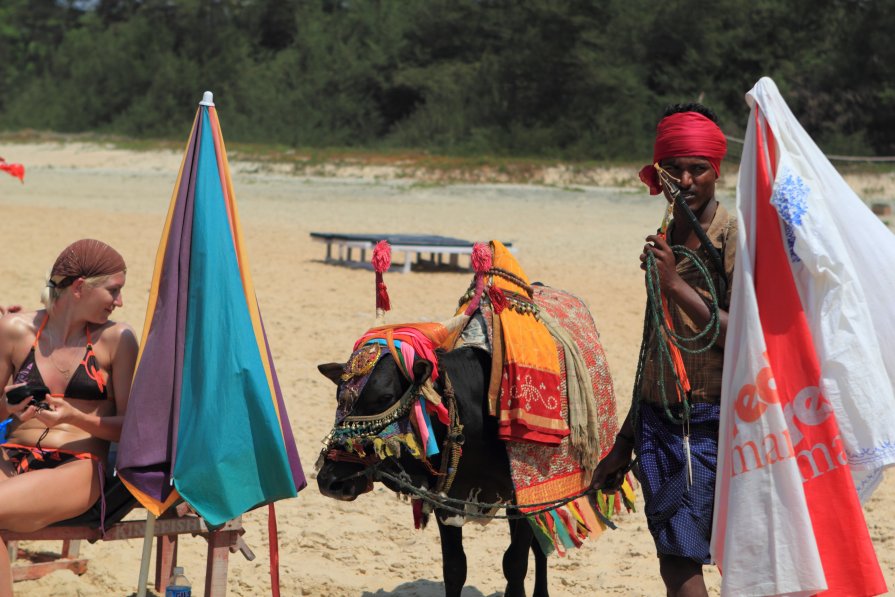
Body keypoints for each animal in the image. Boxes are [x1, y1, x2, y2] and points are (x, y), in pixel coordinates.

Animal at [316, 344, 560, 596]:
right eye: (338, 398)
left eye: (386, 397)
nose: (329, 480)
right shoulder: (447, 497)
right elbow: (454, 569)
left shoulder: (526, 499)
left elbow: (515, 563)